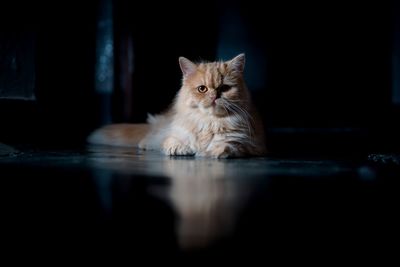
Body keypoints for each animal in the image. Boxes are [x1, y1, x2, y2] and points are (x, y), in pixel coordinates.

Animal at [89, 54, 268, 159]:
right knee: (149, 139)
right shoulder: (175, 133)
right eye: (202, 89)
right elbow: (173, 142)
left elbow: (227, 146)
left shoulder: (248, 143)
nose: (214, 96)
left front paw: (209, 152)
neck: (209, 121)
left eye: (224, 88)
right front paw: (181, 148)